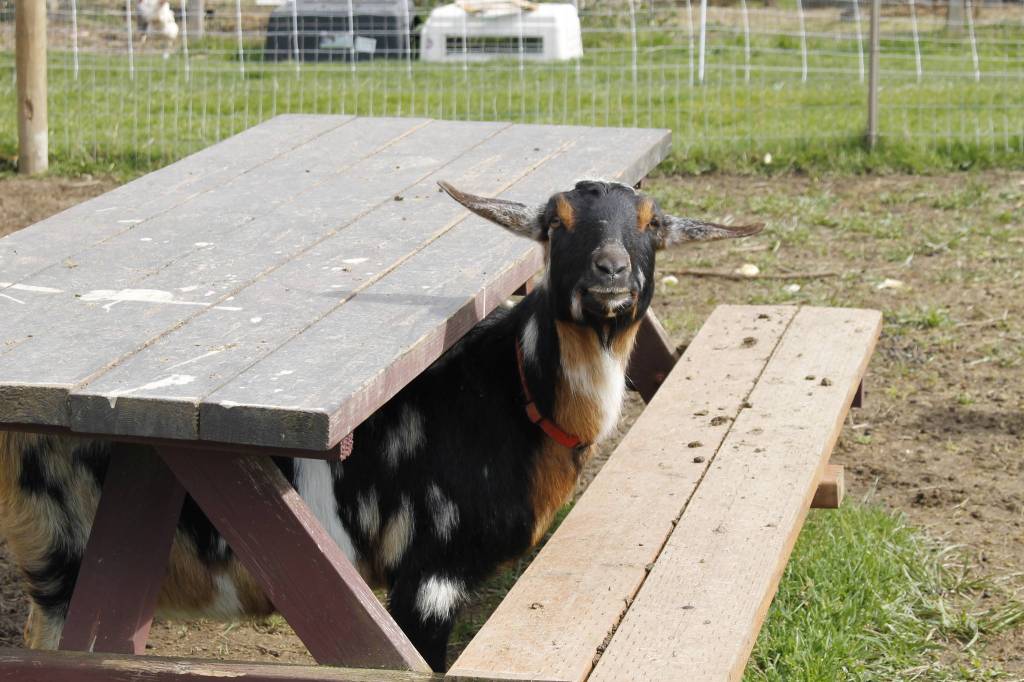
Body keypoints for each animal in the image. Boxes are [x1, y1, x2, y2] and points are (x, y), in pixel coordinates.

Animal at [0, 180, 761, 671]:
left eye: (652, 223)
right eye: (556, 224)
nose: (611, 273)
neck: (511, 396)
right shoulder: (430, 575)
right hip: (63, 562)